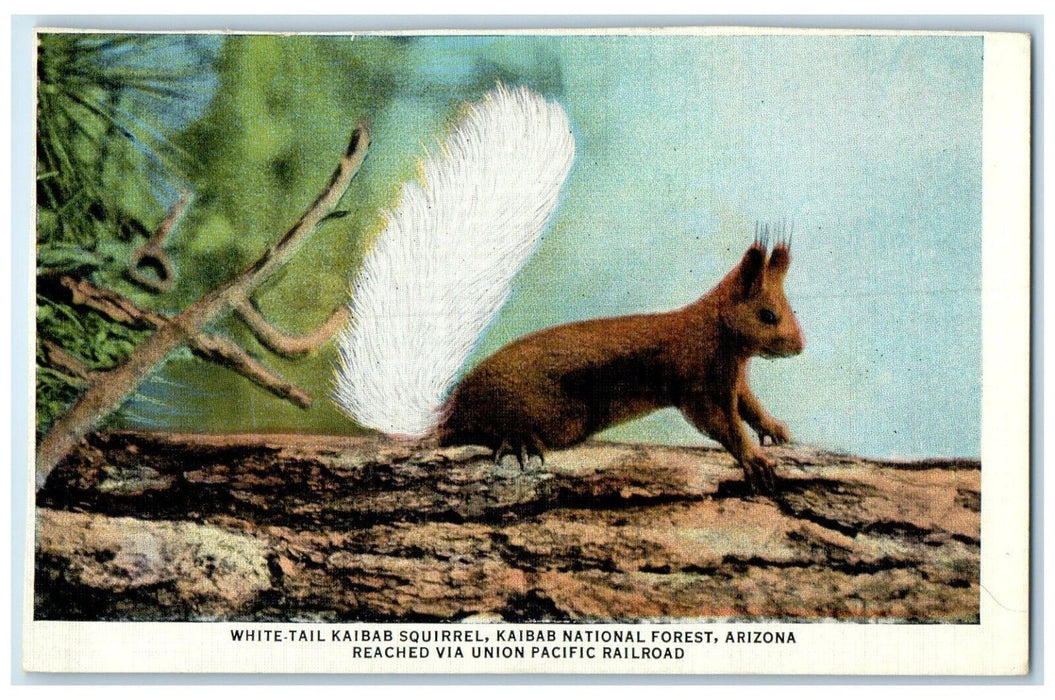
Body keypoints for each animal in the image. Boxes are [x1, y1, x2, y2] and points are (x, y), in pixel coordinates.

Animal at [333, 84, 804, 494]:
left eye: (788, 308)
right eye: (768, 315)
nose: (799, 346)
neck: (720, 335)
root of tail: (451, 407)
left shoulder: (734, 382)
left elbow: (750, 407)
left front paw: (776, 430)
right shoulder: (696, 379)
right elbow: (721, 424)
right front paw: (752, 457)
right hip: (551, 415)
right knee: (470, 433)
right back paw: (517, 440)